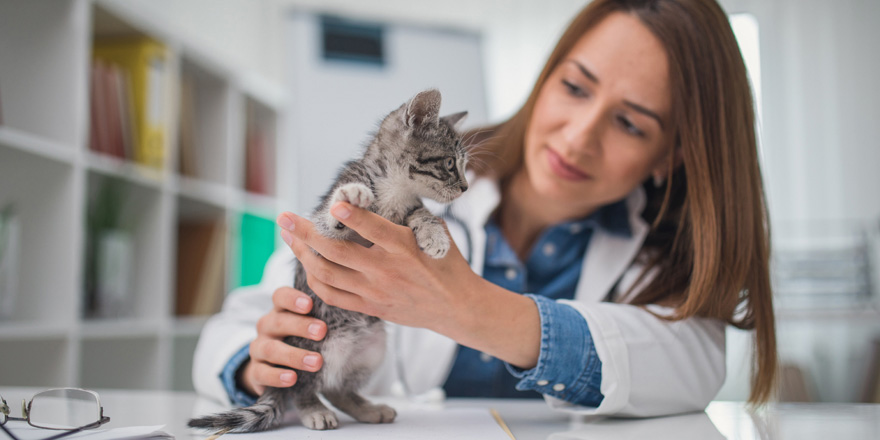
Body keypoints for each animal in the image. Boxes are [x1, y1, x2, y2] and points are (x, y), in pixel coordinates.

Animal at [190, 87, 470, 432]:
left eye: (463, 165)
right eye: (449, 163)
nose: (465, 186)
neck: (395, 191)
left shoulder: (408, 210)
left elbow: (421, 212)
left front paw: (435, 235)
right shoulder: (319, 234)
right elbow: (330, 218)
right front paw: (350, 198)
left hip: (373, 345)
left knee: (336, 388)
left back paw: (367, 408)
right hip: (315, 348)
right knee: (301, 384)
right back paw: (314, 409)